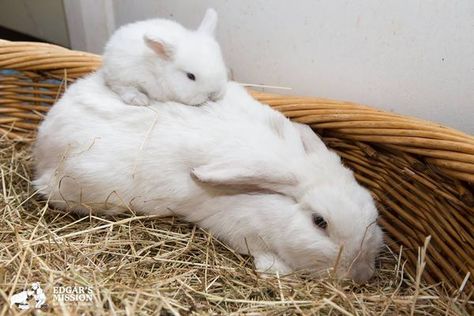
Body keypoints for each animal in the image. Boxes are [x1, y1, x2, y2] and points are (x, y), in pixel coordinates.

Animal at [33, 74, 384, 284]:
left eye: (373, 212)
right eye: (319, 222)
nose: (361, 273)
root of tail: (45, 136)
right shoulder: (243, 231)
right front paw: (277, 269)